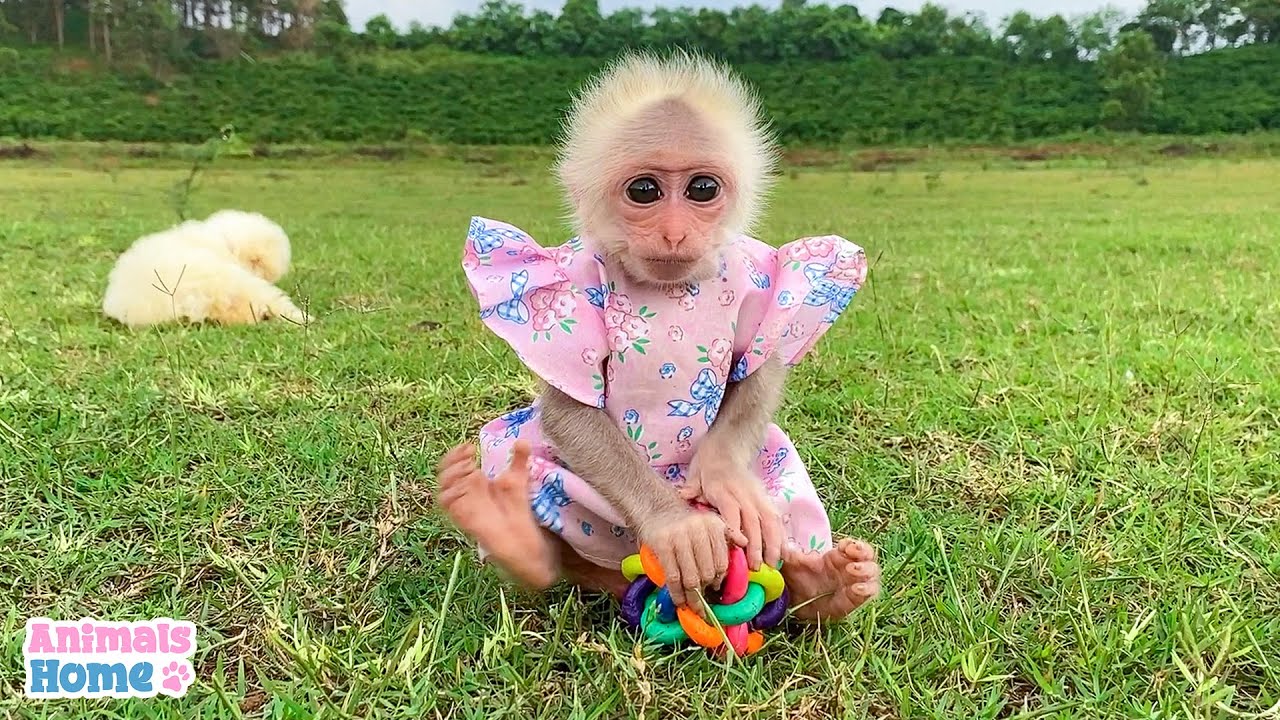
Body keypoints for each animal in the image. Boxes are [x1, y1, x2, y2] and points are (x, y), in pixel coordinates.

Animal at [436, 50, 880, 622]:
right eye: (644, 191)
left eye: (702, 189)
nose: (673, 232)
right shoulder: (566, 284)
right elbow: (570, 408)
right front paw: (678, 526)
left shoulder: (757, 271)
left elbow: (760, 365)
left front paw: (723, 477)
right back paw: (518, 538)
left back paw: (827, 583)